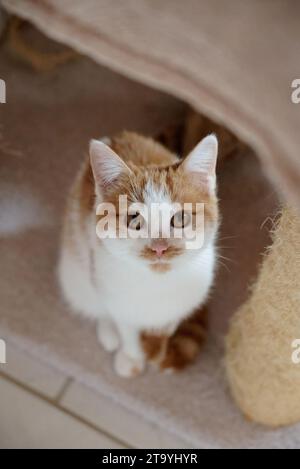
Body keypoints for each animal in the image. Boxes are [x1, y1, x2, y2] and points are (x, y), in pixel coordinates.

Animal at [58, 131, 218, 376]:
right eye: (134, 220)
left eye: (180, 218)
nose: (159, 247)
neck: (157, 284)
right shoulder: (114, 290)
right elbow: (126, 325)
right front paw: (133, 356)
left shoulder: (192, 292)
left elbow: (170, 322)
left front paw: (158, 341)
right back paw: (108, 332)